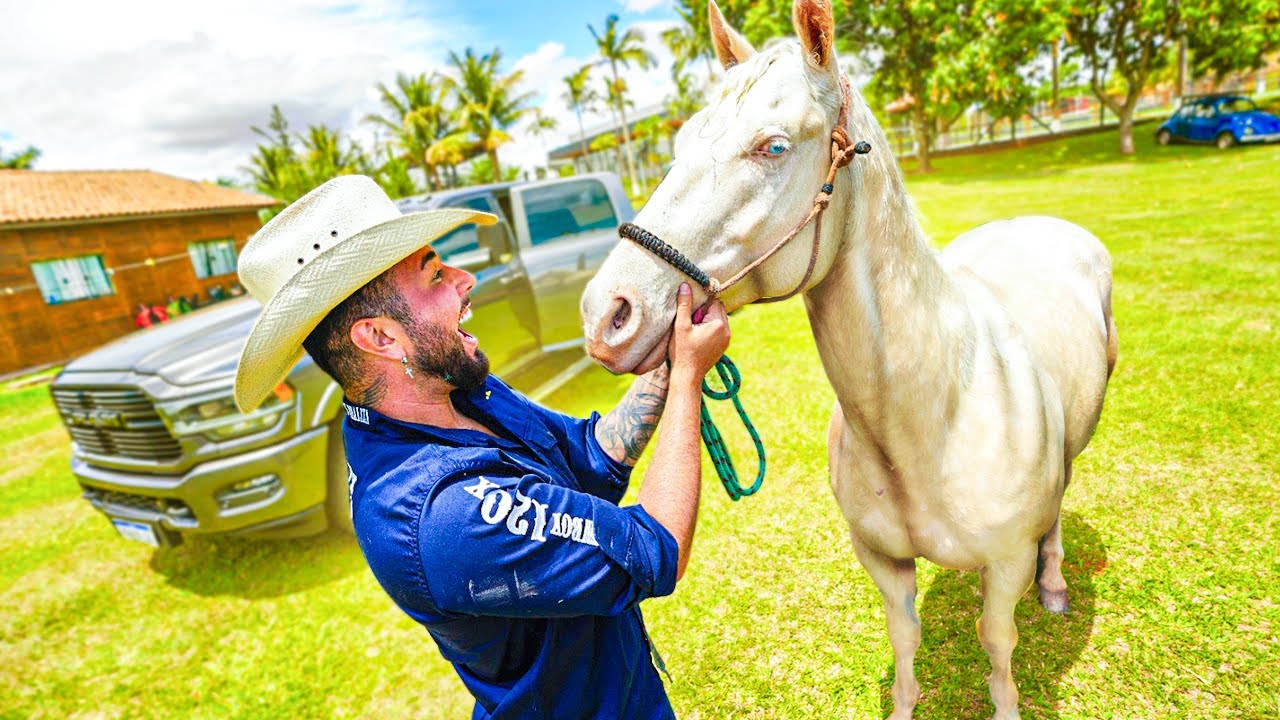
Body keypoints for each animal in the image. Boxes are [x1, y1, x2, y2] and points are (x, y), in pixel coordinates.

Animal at [579, 1, 1118, 718]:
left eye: (774, 146)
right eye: (681, 141)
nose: (607, 314)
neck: (937, 417)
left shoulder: (1004, 565)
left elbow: (998, 644)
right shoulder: (882, 561)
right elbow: (905, 638)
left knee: (1057, 506)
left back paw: (1054, 584)